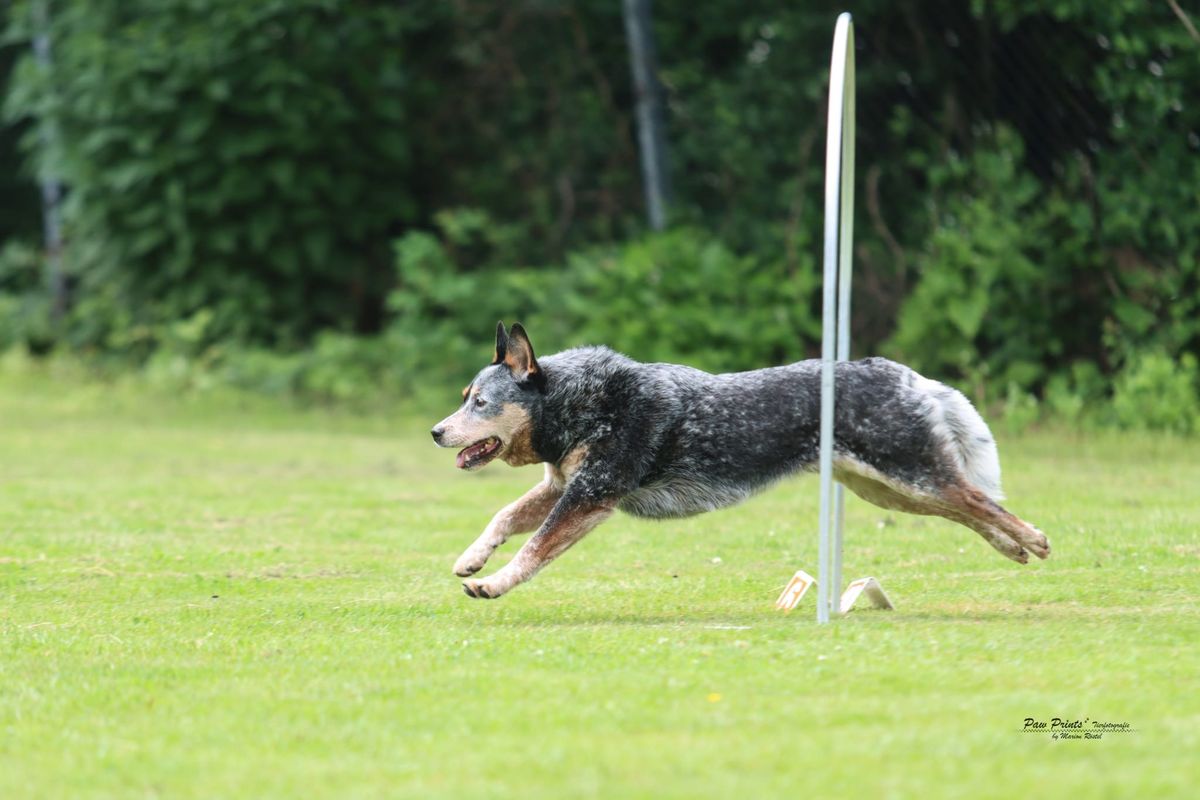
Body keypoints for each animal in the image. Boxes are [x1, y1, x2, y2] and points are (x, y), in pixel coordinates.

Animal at [432, 321, 1051, 597]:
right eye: (464, 397)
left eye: (480, 402)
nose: (436, 431)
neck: (579, 401)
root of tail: (904, 373)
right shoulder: (565, 485)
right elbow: (504, 518)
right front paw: (472, 559)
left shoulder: (590, 495)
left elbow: (534, 547)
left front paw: (495, 583)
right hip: (887, 488)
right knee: (967, 506)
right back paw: (1012, 548)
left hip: (908, 473)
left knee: (976, 498)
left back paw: (1035, 540)